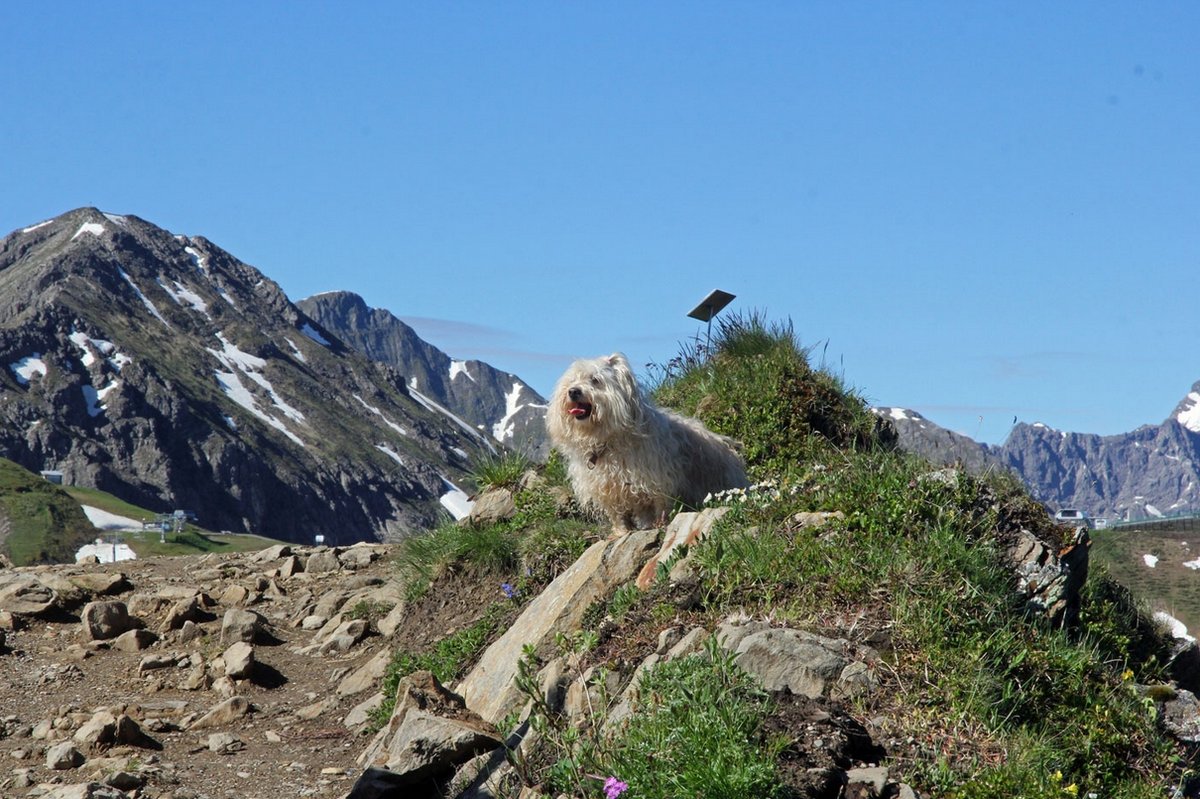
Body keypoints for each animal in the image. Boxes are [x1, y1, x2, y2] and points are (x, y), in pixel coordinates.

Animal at [546, 352, 749, 533]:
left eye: (595, 380)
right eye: (571, 381)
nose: (573, 391)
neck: (606, 441)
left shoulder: (658, 478)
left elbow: (661, 504)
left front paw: (660, 525)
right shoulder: (608, 488)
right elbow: (617, 514)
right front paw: (621, 532)